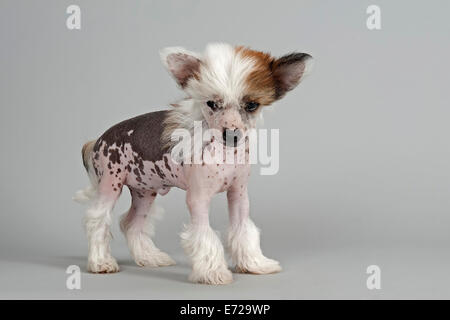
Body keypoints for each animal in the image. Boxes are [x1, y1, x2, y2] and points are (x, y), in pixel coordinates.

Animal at [74, 43, 312, 284]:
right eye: (212, 104)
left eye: (252, 105)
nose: (232, 135)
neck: (224, 154)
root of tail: (98, 140)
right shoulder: (198, 198)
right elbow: (204, 235)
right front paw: (213, 272)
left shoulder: (239, 194)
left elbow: (243, 229)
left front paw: (254, 263)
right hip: (110, 186)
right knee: (97, 220)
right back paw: (101, 262)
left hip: (144, 191)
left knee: (132, 223)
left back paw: (149, 257)